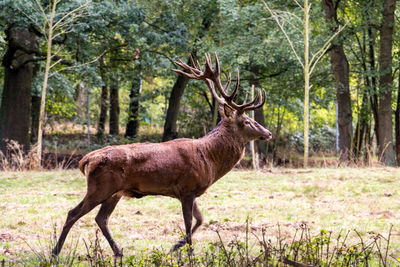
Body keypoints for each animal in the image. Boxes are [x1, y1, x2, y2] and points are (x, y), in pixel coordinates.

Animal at [51, 52, 272, 258]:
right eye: (247, 121)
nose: (268, 133)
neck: (209, 160)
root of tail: (86, 160)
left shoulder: (190, 190)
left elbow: (200, 219)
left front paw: (175, 246)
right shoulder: (187, 187)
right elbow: (189, 222)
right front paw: (190, 252)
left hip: (115, 192)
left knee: (101, 218)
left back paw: (118, 251)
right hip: (100, 187)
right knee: (73, 213)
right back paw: (56, 251)